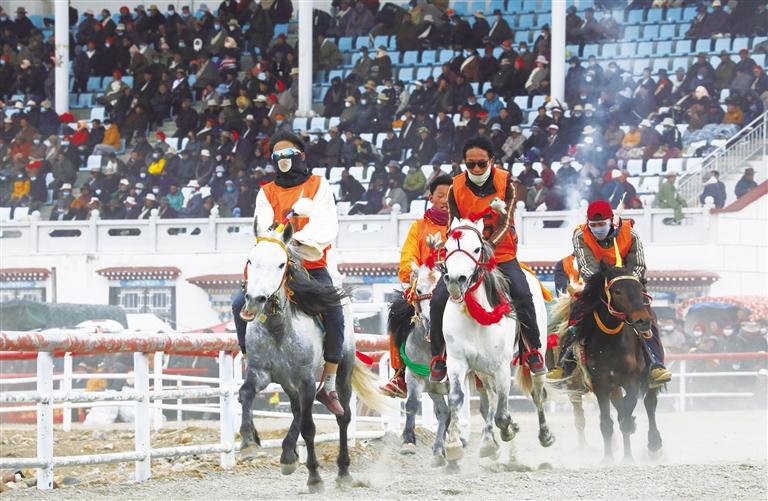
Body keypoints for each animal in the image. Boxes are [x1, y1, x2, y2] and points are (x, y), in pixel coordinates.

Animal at [237, 223, 391, 492]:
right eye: (250, 260)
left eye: (281, 264)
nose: (255, 300)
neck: (278, 328)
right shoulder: (260, 372)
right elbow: (246, 393)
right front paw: (248, 442)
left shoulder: (307, 381)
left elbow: (309, 428)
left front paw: (315, 477)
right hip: (289, 383)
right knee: (297, 410)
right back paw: (288, 453)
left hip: (342, 368)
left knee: (343, 417)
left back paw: (342, 470)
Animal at [388, 262, 451, 466]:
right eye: (419, 290)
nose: (431, 321)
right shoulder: (416, 376)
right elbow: (412, 404)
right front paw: (408, 441)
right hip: (434, 389)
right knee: (443, 412)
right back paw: (439, 450)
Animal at [440, 218, 554, 467]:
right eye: (446, 248)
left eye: (476, 248)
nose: (454, 281)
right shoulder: (457, 362)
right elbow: (456, 399)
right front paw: (453, 445)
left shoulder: (501, 367)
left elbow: (502, 414)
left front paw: (509, 429)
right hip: (481, 370)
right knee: (490, 401)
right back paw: (488, 442)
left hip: (536, 352)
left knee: (537, 392)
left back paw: (544, 435)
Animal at [550, 262, 663, 462]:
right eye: (617, 291)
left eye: (640, 288)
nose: (643, 321)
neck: (610, 341)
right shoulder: (599, 384)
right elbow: (606, 422)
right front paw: (608, 458)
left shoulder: (632, 381)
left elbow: (627, 412)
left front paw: (628, 452)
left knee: (650, 403)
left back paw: (654, 444)